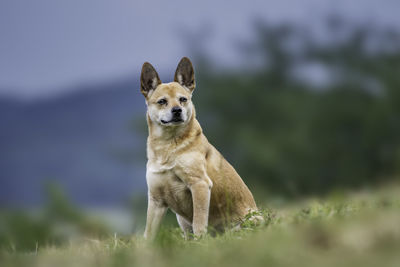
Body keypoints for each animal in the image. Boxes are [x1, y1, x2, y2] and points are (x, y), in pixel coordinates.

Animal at [142, 57, 258, 241]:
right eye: (162, 101)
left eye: (183, 99)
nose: (177, 111)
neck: (167, 146)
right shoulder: (156, 199)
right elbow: (148, 233)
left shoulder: (200, 185)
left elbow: (199, 223)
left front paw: (200, 244)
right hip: (181, 220)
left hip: (251, 220)